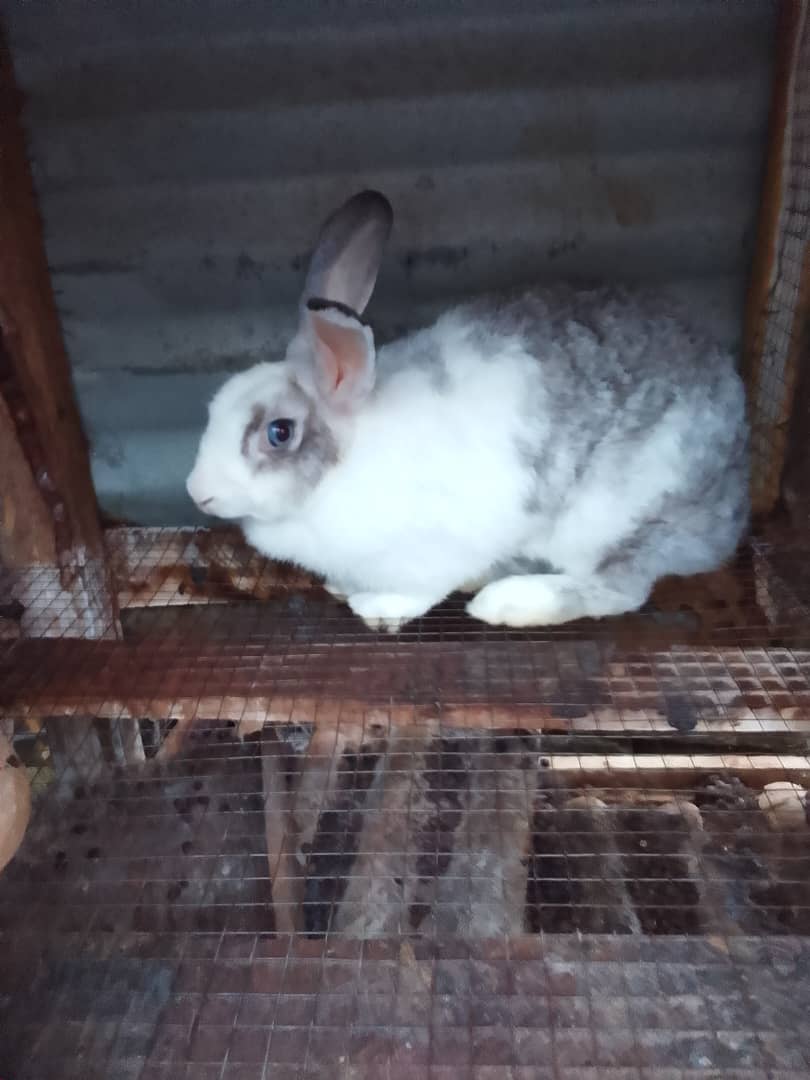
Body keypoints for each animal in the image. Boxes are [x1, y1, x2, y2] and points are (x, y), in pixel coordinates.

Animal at [186, 190, 749, 632]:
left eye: (279, 432)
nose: (196, 492)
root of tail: (728, 514)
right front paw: (343, 587)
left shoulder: (431, 550)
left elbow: (417, 591)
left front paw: (376, 605)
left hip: (615, 518)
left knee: (617, 589)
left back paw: (508, 602)